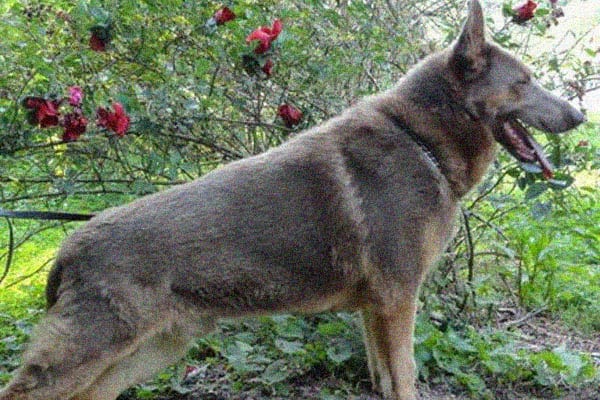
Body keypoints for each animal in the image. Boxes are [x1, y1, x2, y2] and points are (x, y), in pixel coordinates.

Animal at [0, 1, 584, 398]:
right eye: (524, 83)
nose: (580, 116)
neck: (421, 141)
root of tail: (69, 248)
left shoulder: (375, 312)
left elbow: (386, 379)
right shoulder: (398, 303)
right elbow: (407, 378)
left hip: (144, 353)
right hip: (88, 356)